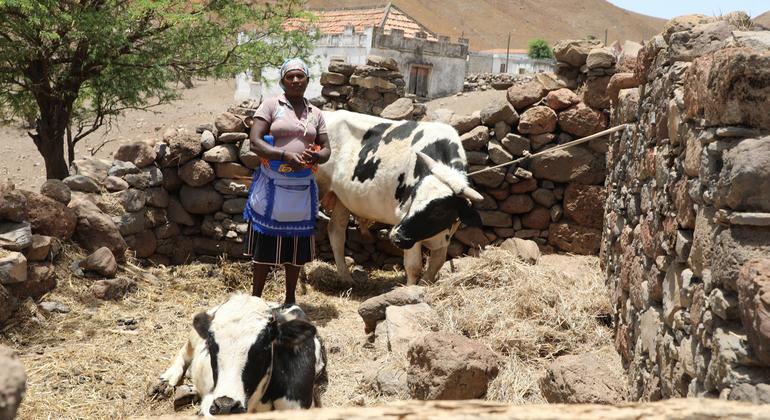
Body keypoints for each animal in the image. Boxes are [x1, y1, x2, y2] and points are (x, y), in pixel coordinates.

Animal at [154, 294, 326, 416]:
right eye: (210, 345)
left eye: (264, 347)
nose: (226, 405)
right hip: (192, 338)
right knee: (184, 353)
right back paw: (167, 380)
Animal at [314, 110, 480, 286]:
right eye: (412, 197)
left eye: (439, 212)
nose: (396, 236)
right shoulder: (405, 221)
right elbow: (414, 267)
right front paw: (409, 291)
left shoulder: (444, 235)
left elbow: (436, 264)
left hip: (343, 199)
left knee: (336, 232)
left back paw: (347, 278)